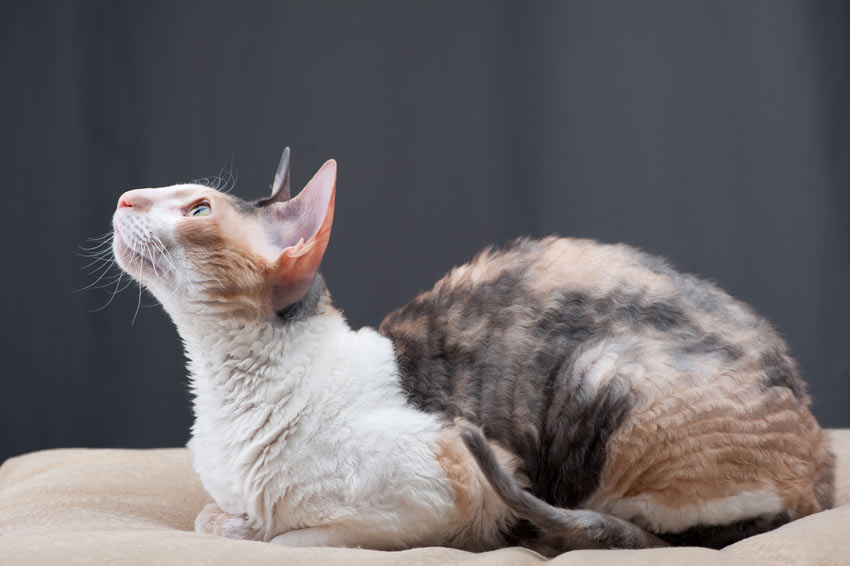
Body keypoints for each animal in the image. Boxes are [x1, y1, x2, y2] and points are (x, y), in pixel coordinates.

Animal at [109, 149, 832, 556]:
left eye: (198, 209)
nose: (122, 197)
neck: (228, 392)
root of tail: (822, 468)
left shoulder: (447, 488)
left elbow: (292, 538)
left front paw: (258, 530)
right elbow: (209, 516)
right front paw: (236, 520)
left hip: (606, 376)